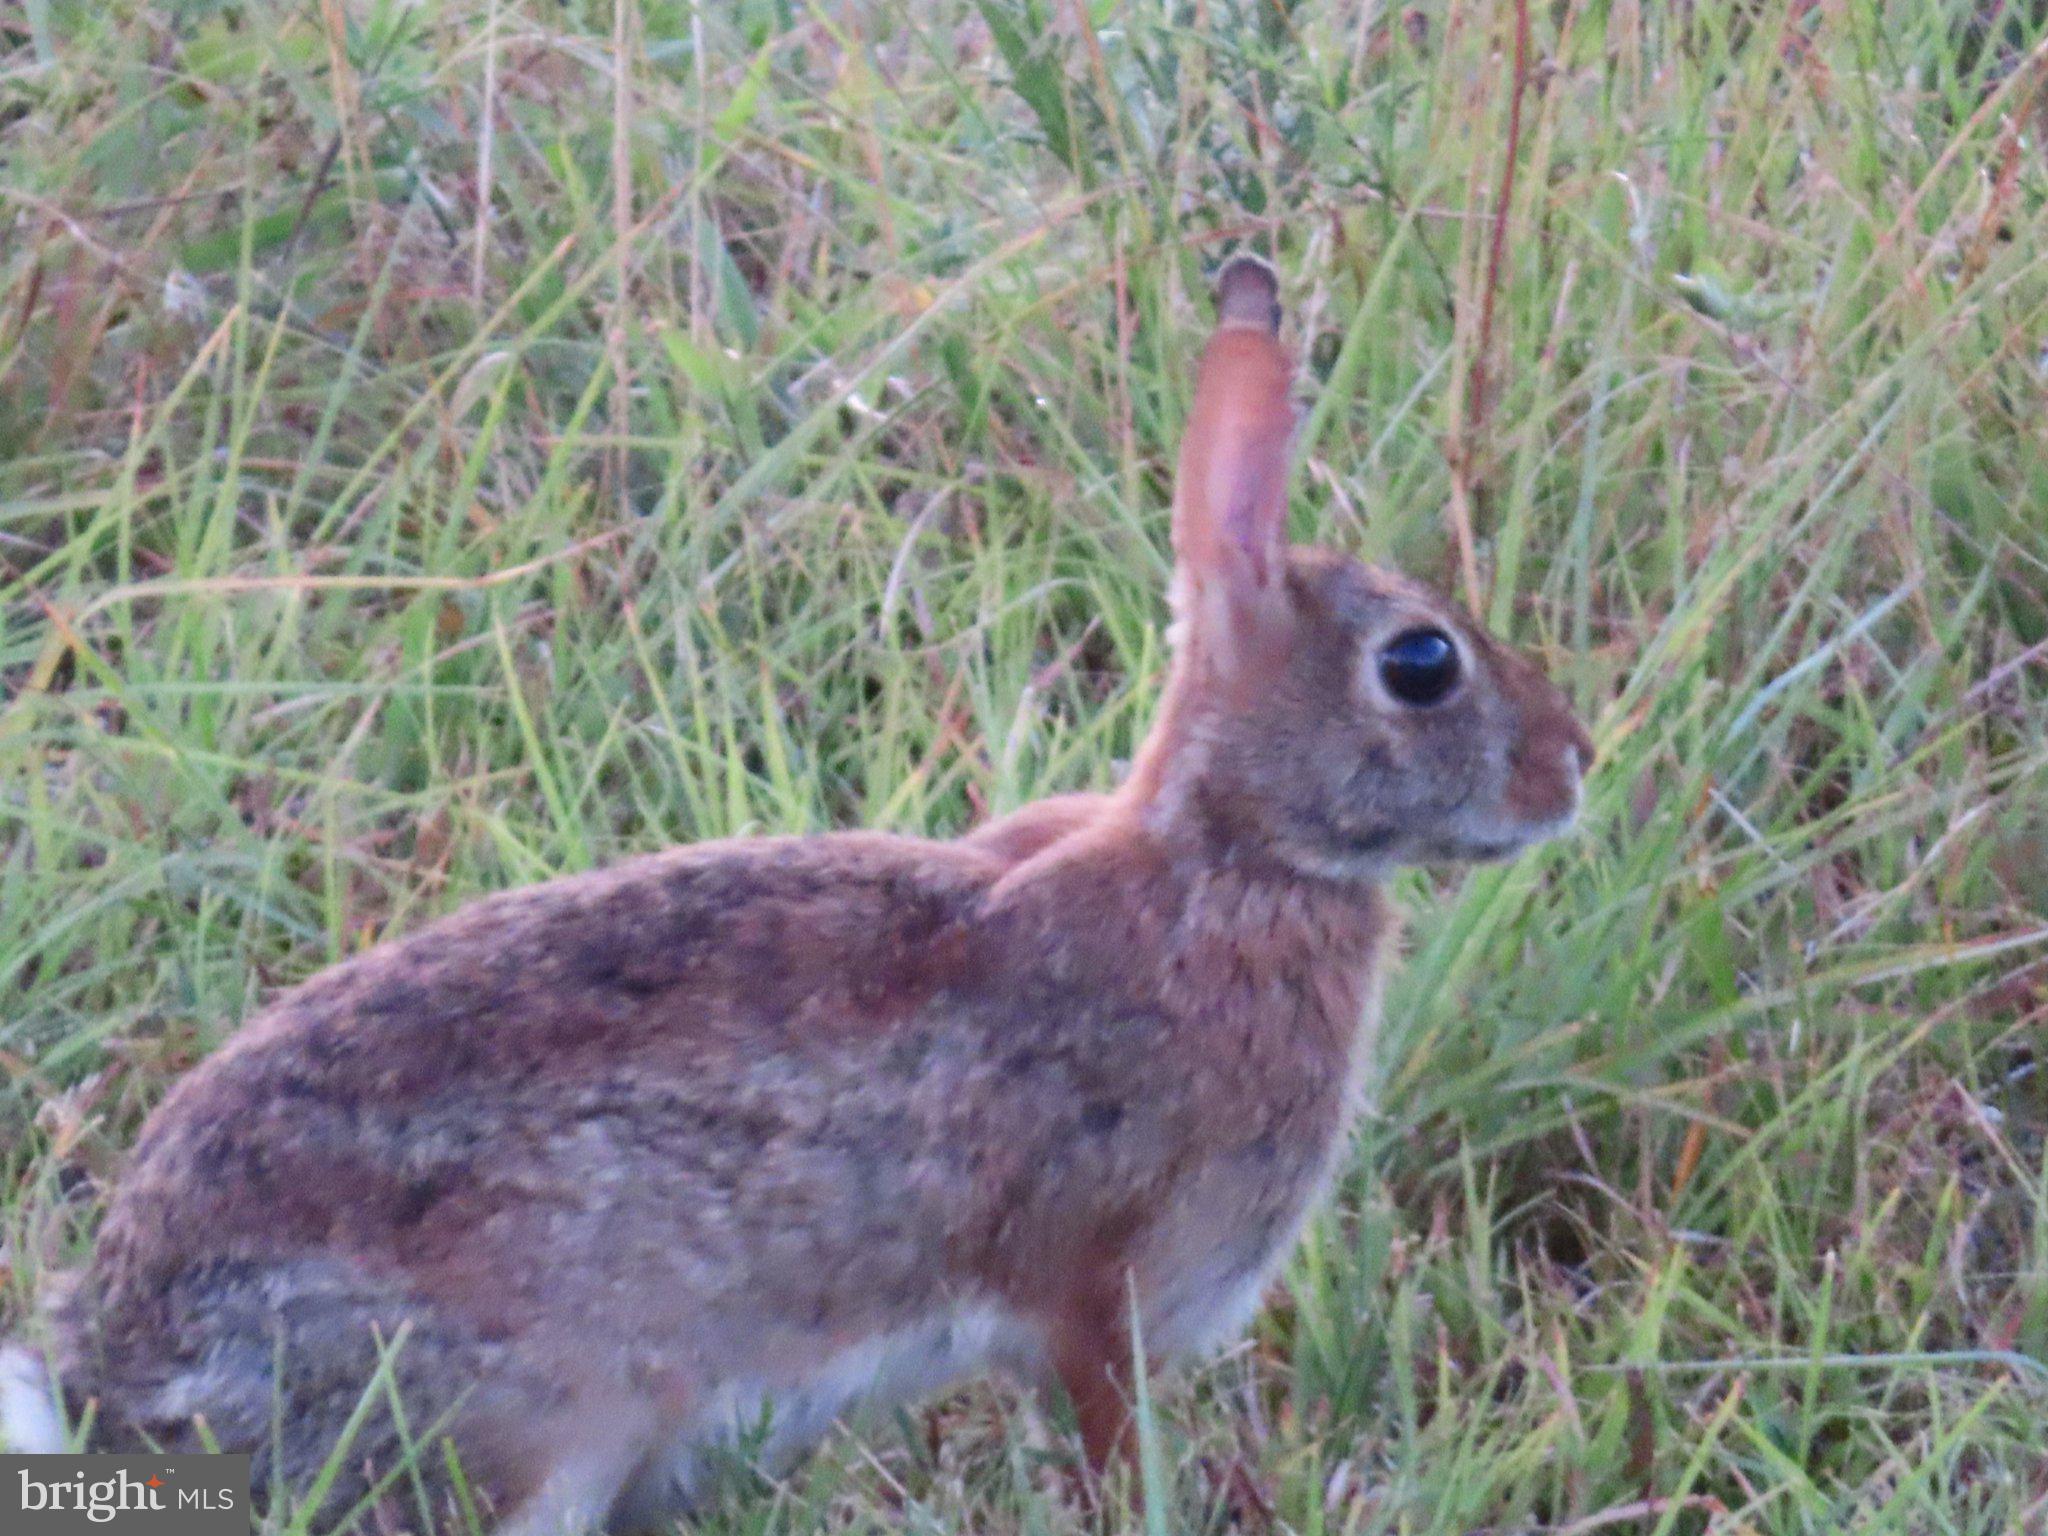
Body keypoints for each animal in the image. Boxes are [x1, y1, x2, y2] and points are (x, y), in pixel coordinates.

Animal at [1, 254, 1592, 1534]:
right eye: (1422, 664)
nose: (1572, 766)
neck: (1232, 858)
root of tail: (131, 1381)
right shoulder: (1103, 1285)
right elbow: (1109, 1434)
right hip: (533, 1430)